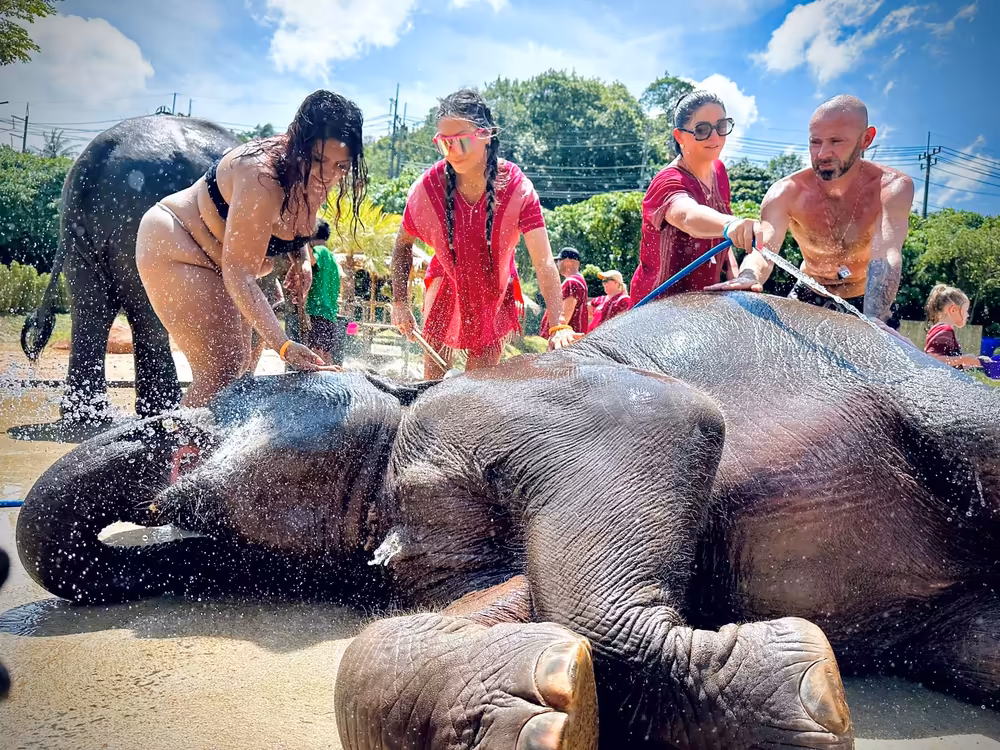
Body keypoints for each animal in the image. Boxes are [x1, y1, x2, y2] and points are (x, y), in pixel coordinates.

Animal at [14, 292, 1000, 749]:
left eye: (205, 420)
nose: (159, 423)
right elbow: (496, 600)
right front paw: (541, 713)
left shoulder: (512, 401)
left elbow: (664, 419)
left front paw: (807, 694)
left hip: (934, 397)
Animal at [21, 114, 240, 422]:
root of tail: (92, 161)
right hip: (138, 221)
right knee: (146, 310)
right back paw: (162, 409)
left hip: (79, 233)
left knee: (91, 305)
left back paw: (88, 415)